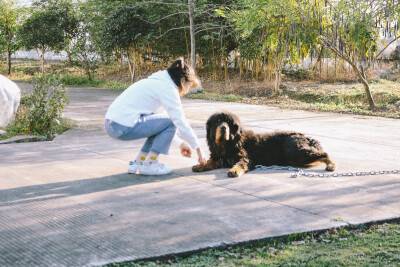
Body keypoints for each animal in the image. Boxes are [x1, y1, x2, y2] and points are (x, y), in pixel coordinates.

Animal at [192, 111, 336, 178]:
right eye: (218, 121)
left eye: (228, 123)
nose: (223, 128)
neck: (226, 145)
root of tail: (306, 137)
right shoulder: (218, 158)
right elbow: (209, 162)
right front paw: (200, 166)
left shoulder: (244, 157)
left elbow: (240, 164)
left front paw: (234, 170)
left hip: (294, 151)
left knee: (324, 153)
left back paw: (331, 165)